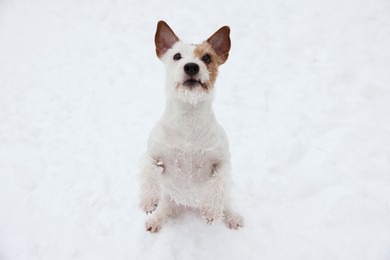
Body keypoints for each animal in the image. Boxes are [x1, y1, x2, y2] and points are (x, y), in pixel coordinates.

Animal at [139, 19, 244, 232]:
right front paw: (148, 200)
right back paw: (156, 219)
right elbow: (147, 170)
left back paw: (232, 217)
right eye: (177, 56)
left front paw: (211, 210)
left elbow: (218, 183)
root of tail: (188, 203)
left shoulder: (222, 161)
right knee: (164, 208)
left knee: (226, 202)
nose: (191, 67)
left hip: (225, 197)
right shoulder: (154, 155)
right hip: (168, 198)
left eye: (207, 57)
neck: (189, 115)